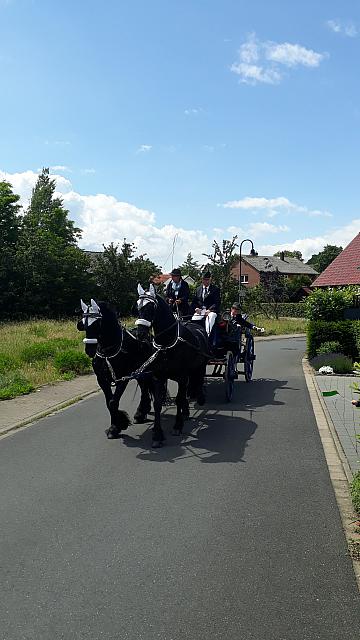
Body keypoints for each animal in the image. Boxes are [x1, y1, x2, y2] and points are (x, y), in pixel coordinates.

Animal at [77, 300, 153, 440]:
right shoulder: (102, 380)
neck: (108, 352)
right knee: (144, 387)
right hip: (139, 372)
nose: (89, 350)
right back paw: (141, 412)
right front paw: (117, 424)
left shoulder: (123, 378)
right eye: (83, 323)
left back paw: (141, 412)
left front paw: (116, 426)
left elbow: (113, 402)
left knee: (145, 387)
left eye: (97, 324)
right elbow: (109, 402)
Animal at [135, 282, 210, 448]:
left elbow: (179, 400)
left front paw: (177, 425)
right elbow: (157, 403)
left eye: (151, 307)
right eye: (137, 307)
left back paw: (200, 398)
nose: (140, 334)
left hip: (200, 365)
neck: (166, 343)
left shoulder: (181, 376)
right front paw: (157, 435)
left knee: (199, 379)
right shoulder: (159, 377)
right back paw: (187, 411)